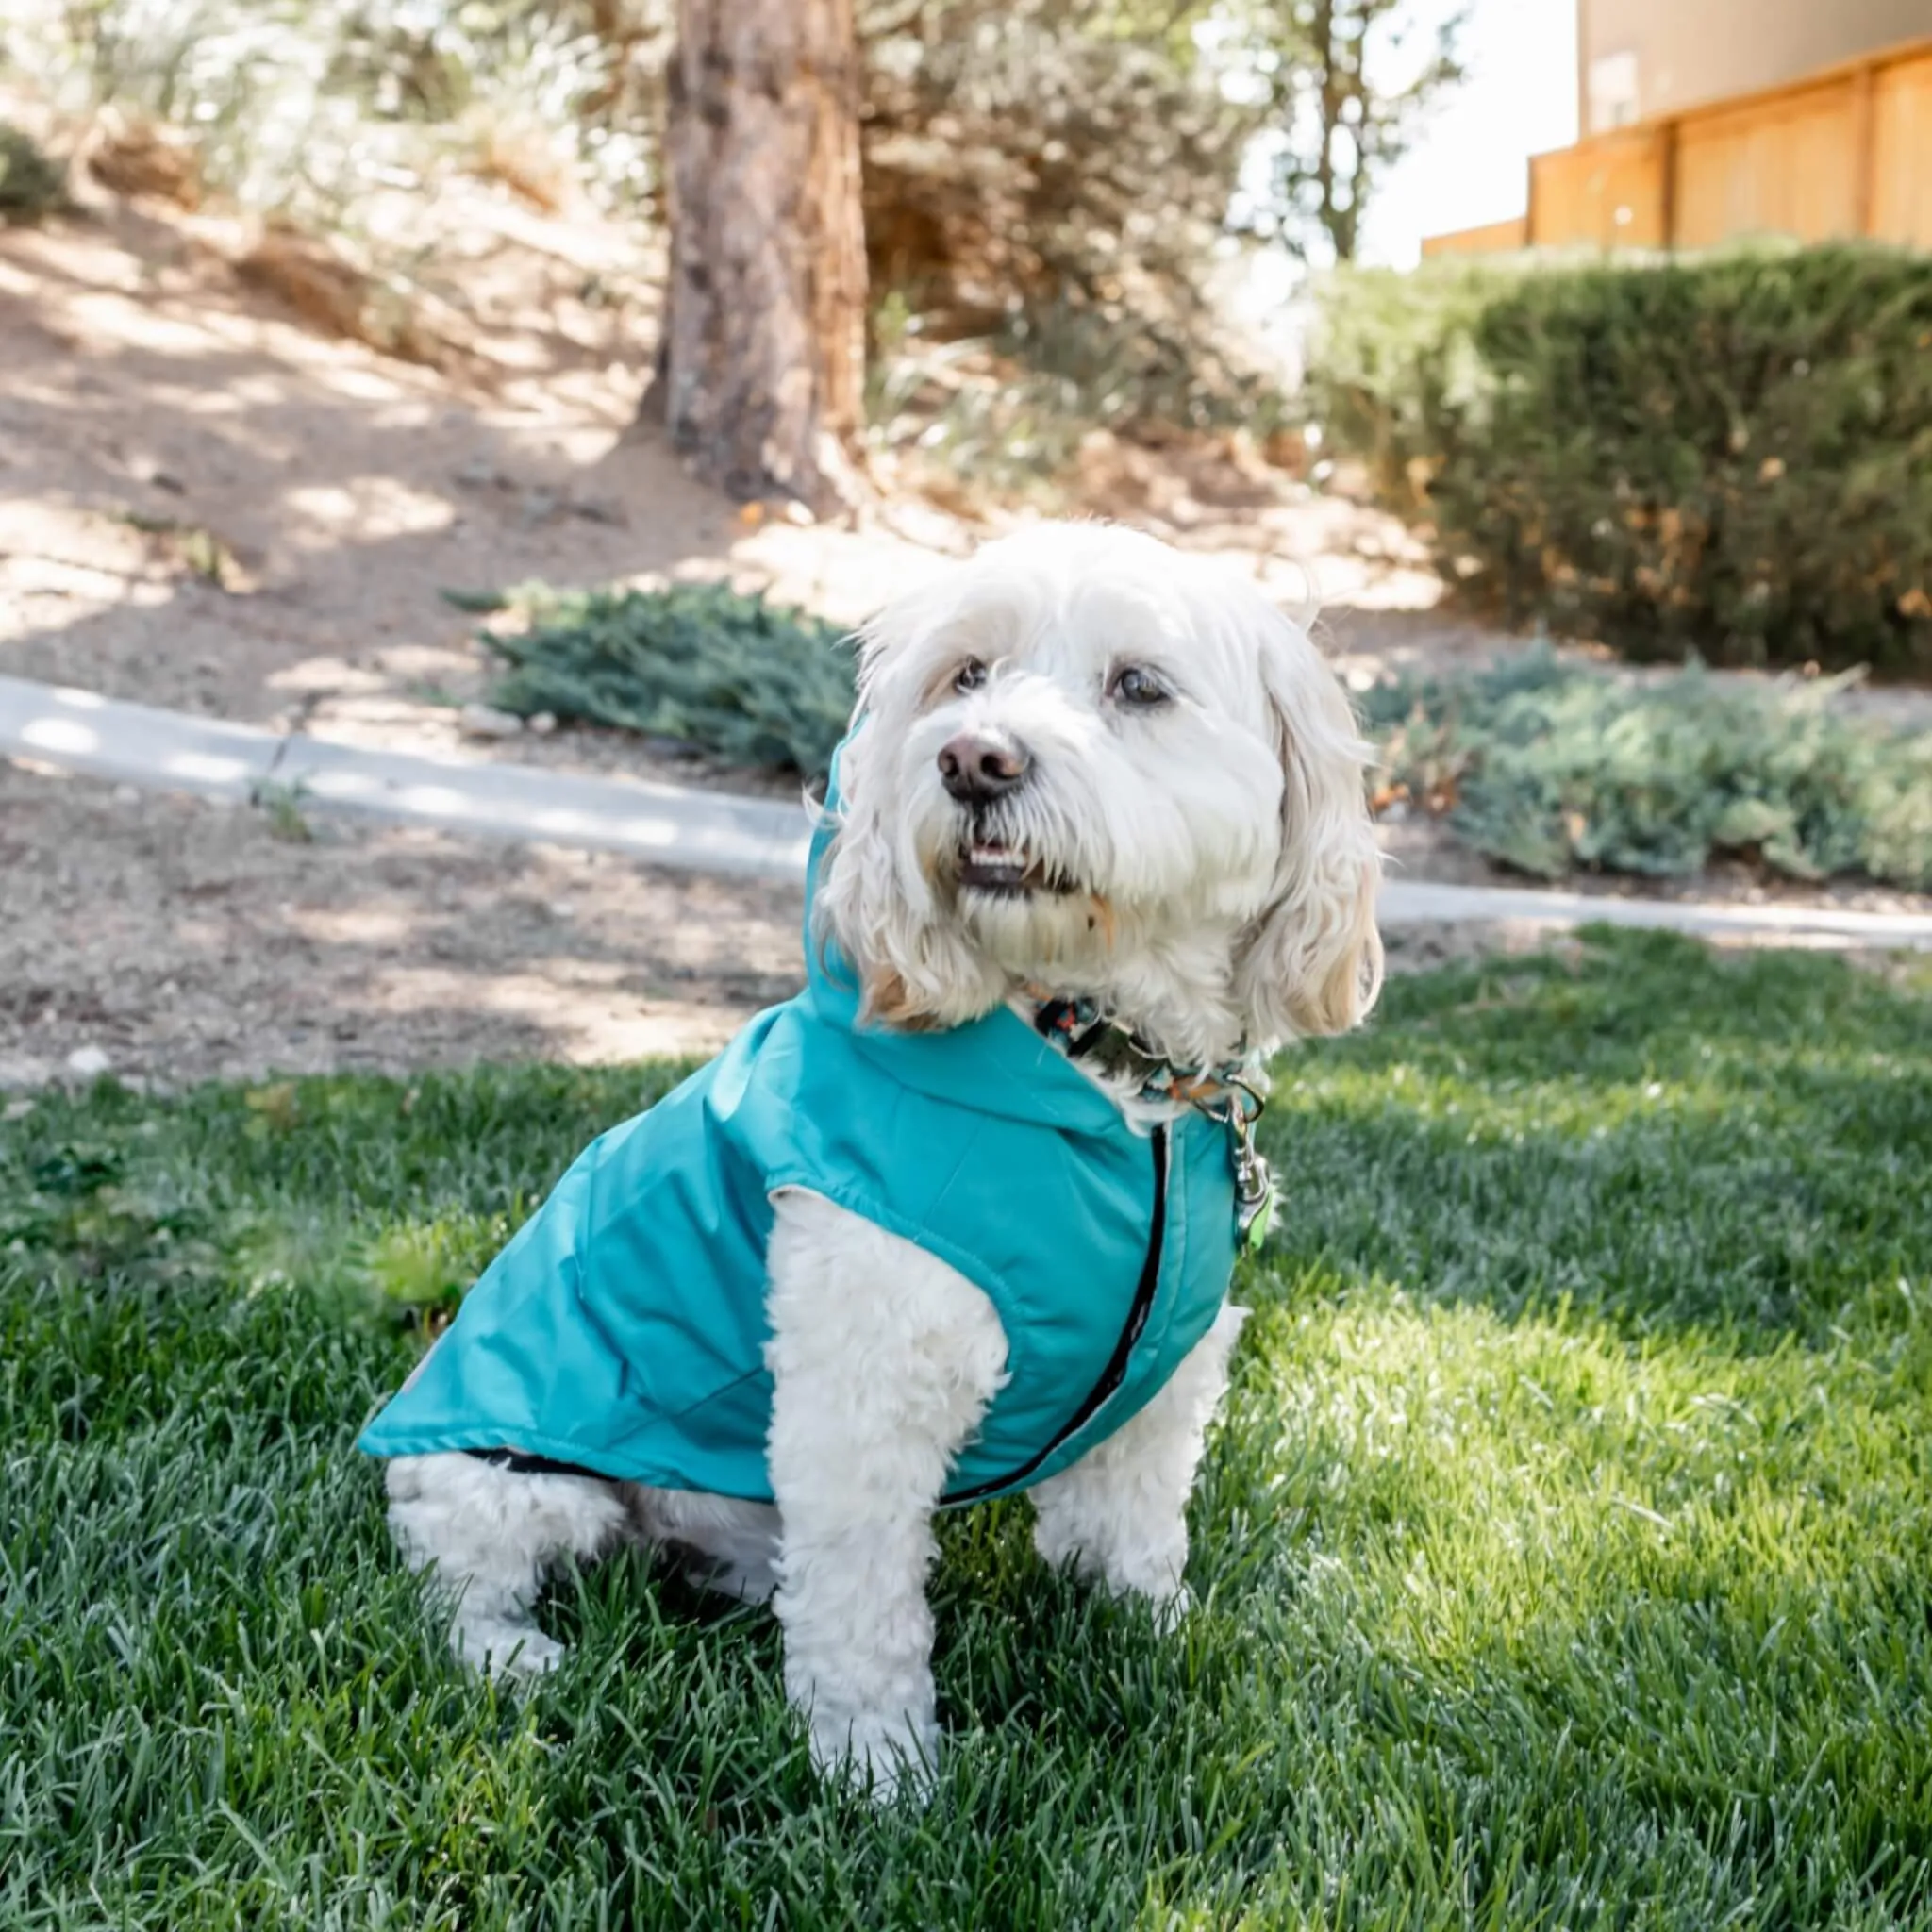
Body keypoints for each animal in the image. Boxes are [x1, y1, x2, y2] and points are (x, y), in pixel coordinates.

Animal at [365, 513, 1391, 1792]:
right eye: (965, 675)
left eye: (1138, 686)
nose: (974, 760)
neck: (1101, 1066)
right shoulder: (859, 1386)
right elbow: (861, 1607)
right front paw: (878, 1770)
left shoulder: (1162, 1382)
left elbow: (1130, 1535)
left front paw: (1152, 1643)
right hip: (517, 1474)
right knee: (445, 1560)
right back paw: (514, 1652)